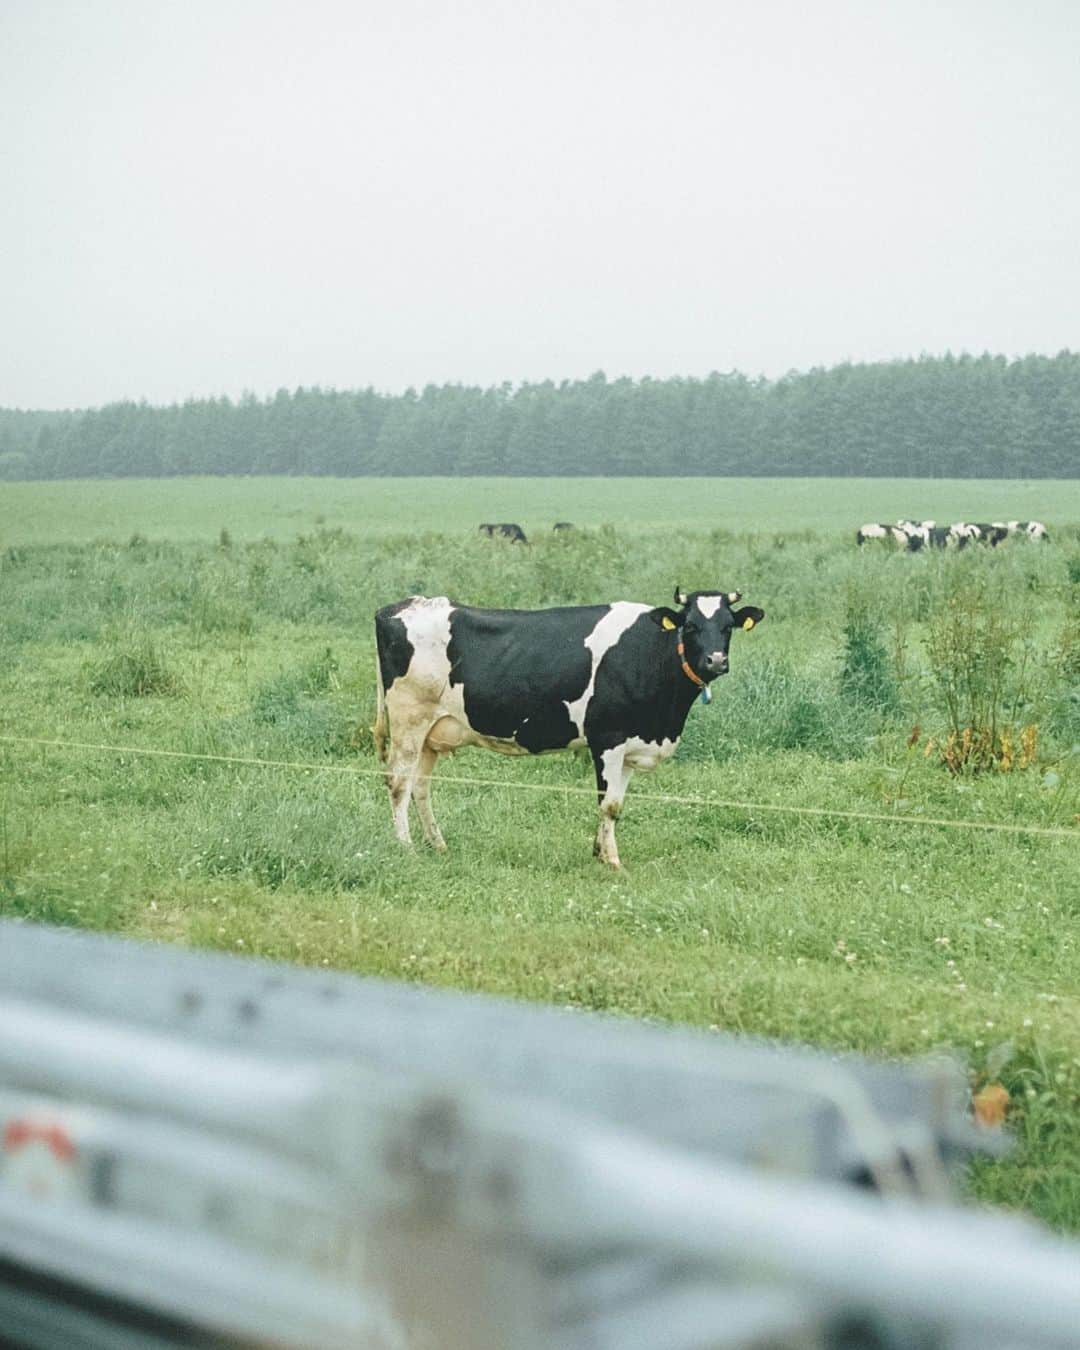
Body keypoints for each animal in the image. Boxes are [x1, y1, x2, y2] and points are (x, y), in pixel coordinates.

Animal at [375, 588, 761, 864]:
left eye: (727, 626)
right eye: (690, 625)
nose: (716, 660)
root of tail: (403, 605)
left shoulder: (630, 745)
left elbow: (616, 802)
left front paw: (599, 851)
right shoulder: (607, 738)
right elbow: (609, 804)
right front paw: (613, 862)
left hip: (431, 732)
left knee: (420, 787)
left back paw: (438, 845)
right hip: (409, 720)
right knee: (399, 783)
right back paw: (406, 848)